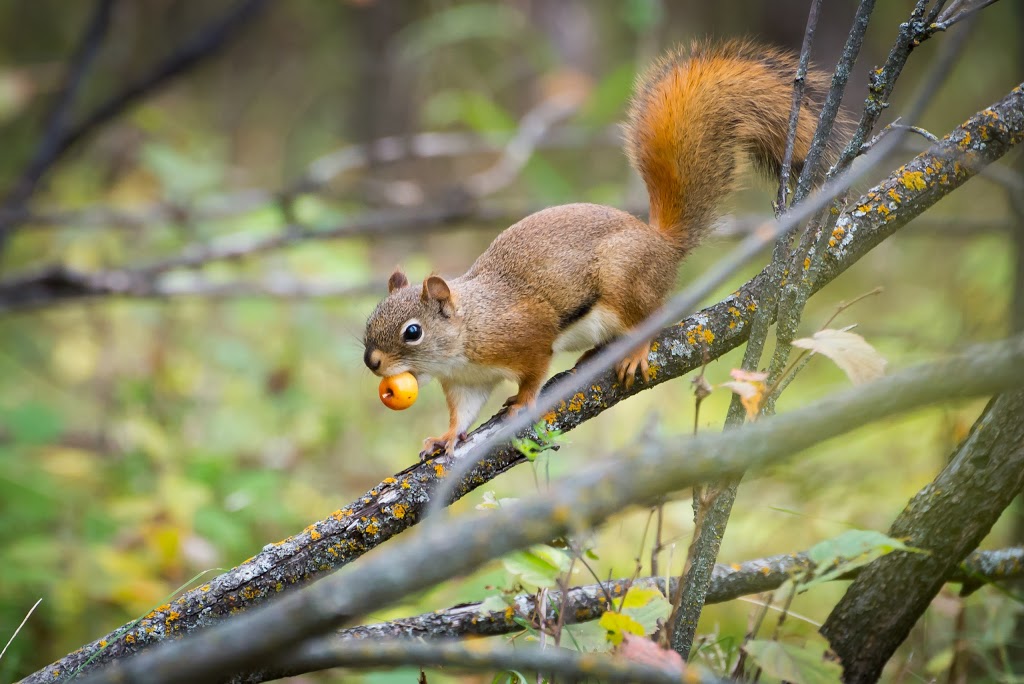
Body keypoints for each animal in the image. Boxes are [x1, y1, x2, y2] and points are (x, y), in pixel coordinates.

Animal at [360, 42, 831, 458]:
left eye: (413, 332)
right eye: (370, 322)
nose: (372, 363)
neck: (468, 330)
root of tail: (661, 245)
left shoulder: (527, 334)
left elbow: (534, 371)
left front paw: (523, 401)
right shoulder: (466, 382)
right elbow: (463, 415)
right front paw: (444, 438)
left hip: (625, 281)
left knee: (653, 316)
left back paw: (635, 351)